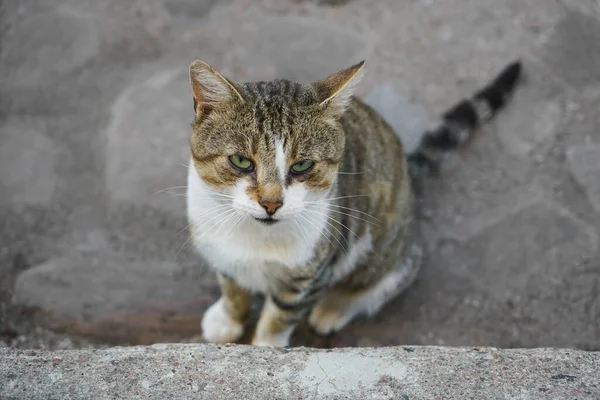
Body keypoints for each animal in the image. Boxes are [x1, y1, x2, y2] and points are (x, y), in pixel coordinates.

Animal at [186, 57, 520, 346]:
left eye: (302, 165)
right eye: (241, 161)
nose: (271, 203)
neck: (254, 236)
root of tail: (409, 173)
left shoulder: (311, 273)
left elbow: (279, 318)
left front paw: (266, 346)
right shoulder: (219, 248)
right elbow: (233, 289)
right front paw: (227, 320)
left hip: (389, 254)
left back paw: (333, 309)